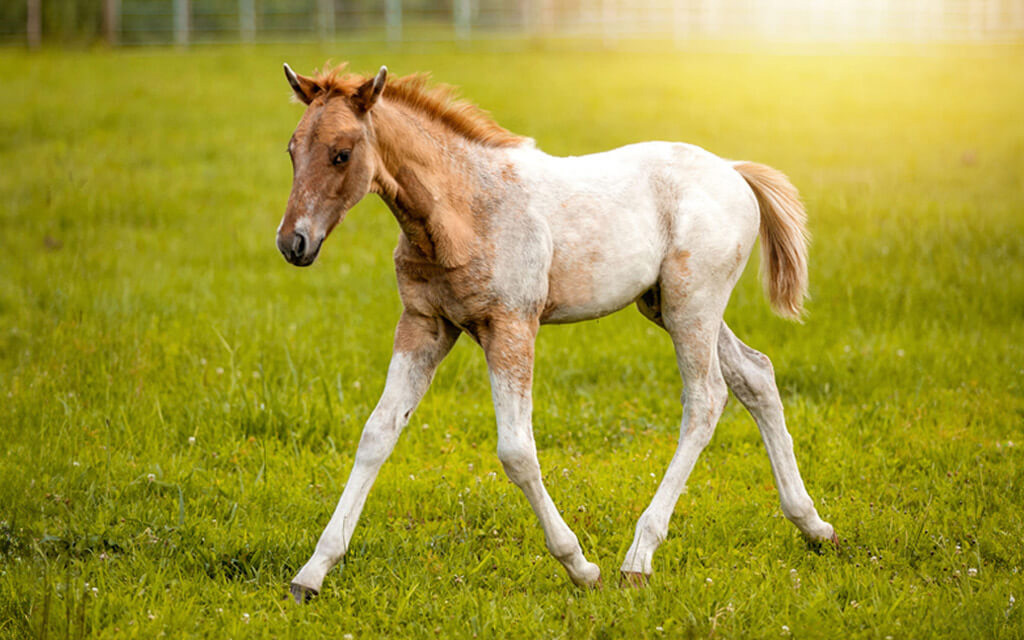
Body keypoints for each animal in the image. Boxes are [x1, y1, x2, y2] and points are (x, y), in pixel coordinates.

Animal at [278, 63, 831, 598]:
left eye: (342, 153)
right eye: (291, 150)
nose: (292, 243)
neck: (462, 210)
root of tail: (733, 170)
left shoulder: (511, 325)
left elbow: (516, 451)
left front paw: (580, 567)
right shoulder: (424, 326)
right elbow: (377, 433)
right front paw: (312, 573)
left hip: (692, 304)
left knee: (706, 399)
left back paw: (639, 557)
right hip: (669, 305)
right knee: (755, 375)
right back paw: (814, 526)